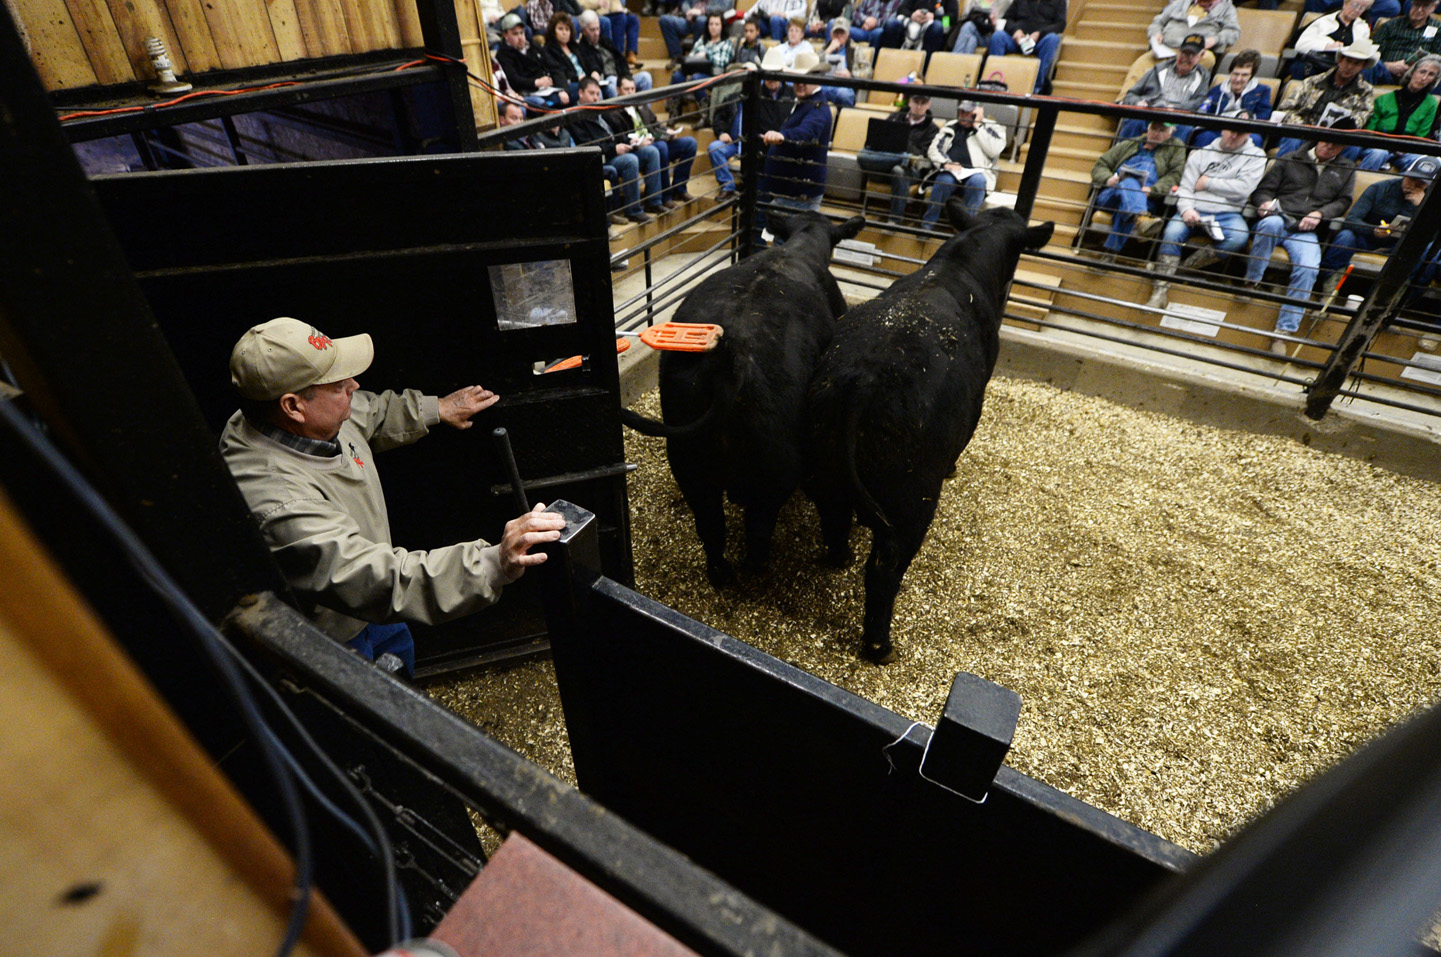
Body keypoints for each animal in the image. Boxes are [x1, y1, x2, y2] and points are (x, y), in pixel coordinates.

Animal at [619, 211, 864, 582]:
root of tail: (730, 356)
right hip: (774, 473)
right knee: (757, 536)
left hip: (689, 465)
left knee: (711, 528)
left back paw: (721, 574)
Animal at [806, 200, 1054, 662]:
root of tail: (862, 379)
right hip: (912, 498)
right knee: (884, 568)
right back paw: (881, 647)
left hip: (825, 471)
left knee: (834, 520)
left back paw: (841, 558)